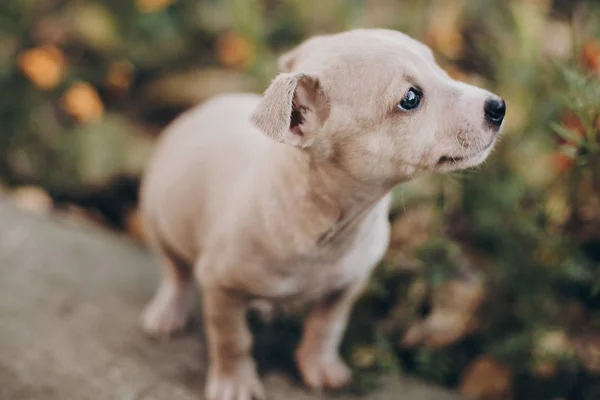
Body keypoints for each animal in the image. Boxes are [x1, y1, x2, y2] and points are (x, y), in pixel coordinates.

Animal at [139, 28, 506, 400]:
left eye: (438, 67)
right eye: (411, 98)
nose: (498, 106)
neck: (332, 222)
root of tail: (203, 107)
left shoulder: (347, 284)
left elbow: (327, 327)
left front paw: (319, 366)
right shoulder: (218, 285)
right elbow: (232, 338)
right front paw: (235, 381)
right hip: (157, 218)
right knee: (175, 272)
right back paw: (168, 312)